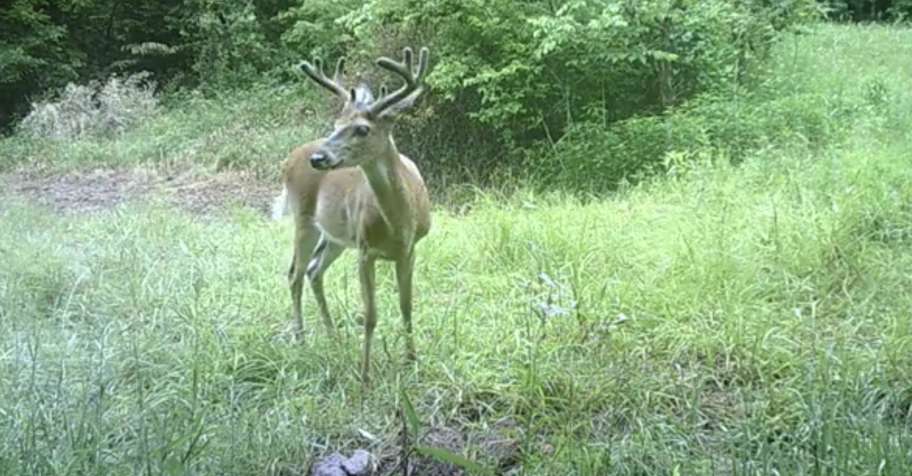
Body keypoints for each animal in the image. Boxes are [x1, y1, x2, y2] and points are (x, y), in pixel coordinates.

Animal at [273, 47, 432, 385]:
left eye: (362, 129)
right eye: (336, 122)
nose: (319, 158)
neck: (399, 223)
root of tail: (290, 158)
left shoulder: (409, 251)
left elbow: (407, 306)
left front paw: (412, 361)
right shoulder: (365, 250)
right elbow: (370, 315)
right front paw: (365, 374)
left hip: (335, 237)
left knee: (314, 270)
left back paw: (333, 335)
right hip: (304, 219)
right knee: (295, 273)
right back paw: (301, 337)